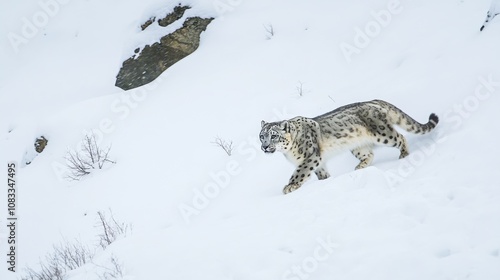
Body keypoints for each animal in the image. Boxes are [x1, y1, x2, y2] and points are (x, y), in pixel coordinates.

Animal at [260, 99, 440, 194]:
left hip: (383, 134)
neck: (288, 152)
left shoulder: (310, 156)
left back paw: (404, 155)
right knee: (369, 154)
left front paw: (289, 186)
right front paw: (326, 180)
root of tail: (374, 101)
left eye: (274, 135)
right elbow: (321, 173)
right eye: (261, 136)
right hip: (357, 146)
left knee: (400, 137)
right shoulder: (319, 161)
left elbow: (300, 172)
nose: (264, 147)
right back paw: (360, 167)